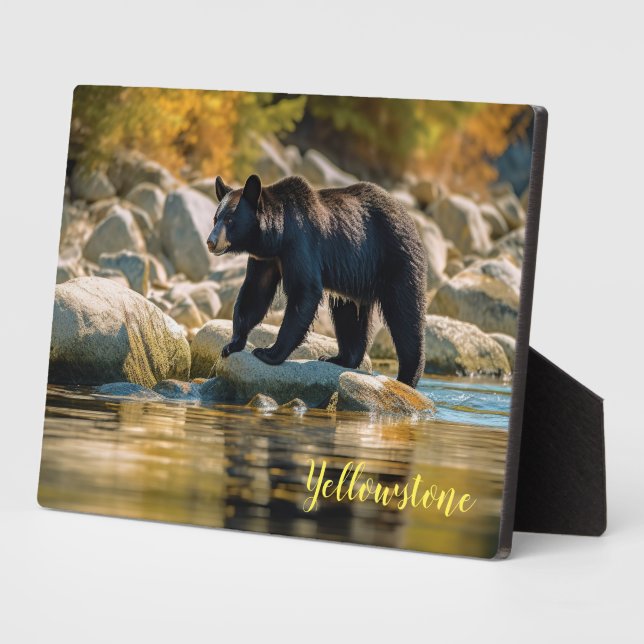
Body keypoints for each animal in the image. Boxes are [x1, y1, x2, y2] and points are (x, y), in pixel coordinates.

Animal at [206, 174, 427, 387]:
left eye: (230, 220)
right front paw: (232, 344)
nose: (211, 242)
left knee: (404, 314)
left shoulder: (301, 243)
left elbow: (305, 291)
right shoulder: (266, 258)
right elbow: (255, 292)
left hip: (396, 259)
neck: (278, 236)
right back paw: (339, 359)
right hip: (354, 281)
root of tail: (406, 215)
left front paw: (268, 352)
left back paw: (407, 377)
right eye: (216, 218)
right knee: (348, 315)